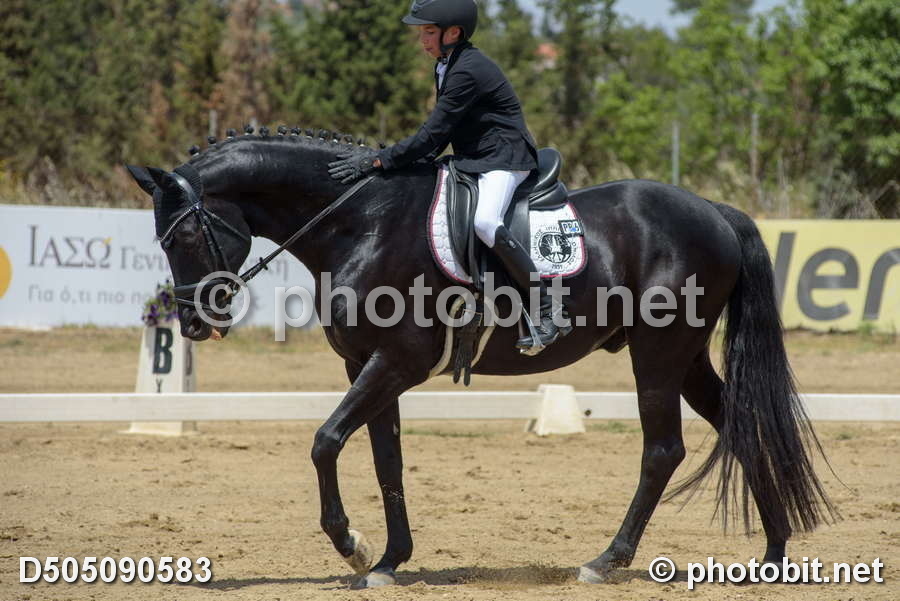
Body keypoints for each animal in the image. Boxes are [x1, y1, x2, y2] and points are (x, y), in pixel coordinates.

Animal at [126, 128, 836, 588]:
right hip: (684, 359)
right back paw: (773, 554)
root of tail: (711, 209)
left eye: (182, 235)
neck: (361, 221)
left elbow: (326, 440)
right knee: (740, 425)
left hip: (659, 355)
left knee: (663, 450)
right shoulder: (367, 365)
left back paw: (606, 561)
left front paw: (352, 547)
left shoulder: (399, 360)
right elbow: (385, 458)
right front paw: (390, 561)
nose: (194, 322)